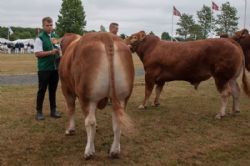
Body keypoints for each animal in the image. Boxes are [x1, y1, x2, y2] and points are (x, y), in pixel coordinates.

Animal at [59, 31, 135, 159]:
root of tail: (105, 35)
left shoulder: (66, 88)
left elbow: (71, 108)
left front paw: (70, 130)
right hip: (122, 96)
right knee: (117, 121)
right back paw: (115, 150)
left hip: (88, 97)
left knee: (90, 122)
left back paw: (89, 151)